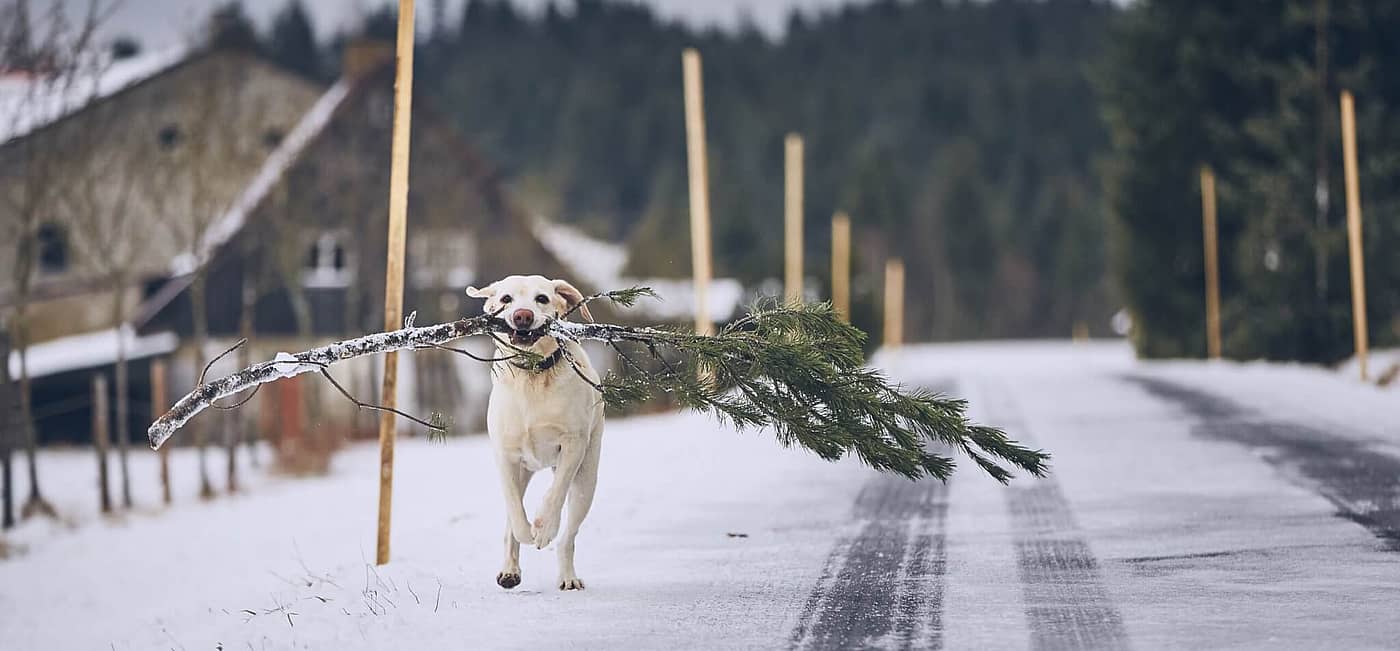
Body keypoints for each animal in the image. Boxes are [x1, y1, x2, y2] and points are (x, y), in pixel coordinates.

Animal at [467, 274, 604, 588]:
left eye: (541, 298)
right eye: (506, 299)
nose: (522, 316)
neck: (532, 375)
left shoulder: (573, 445)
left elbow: (555, 494)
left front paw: (542, 529)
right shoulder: (505, 456)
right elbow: (515, 512)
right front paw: (527, 532)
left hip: (586, 481)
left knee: (568, 537)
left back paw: (568, 576)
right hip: (523, 471)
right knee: (511, 517)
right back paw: (509, 570)